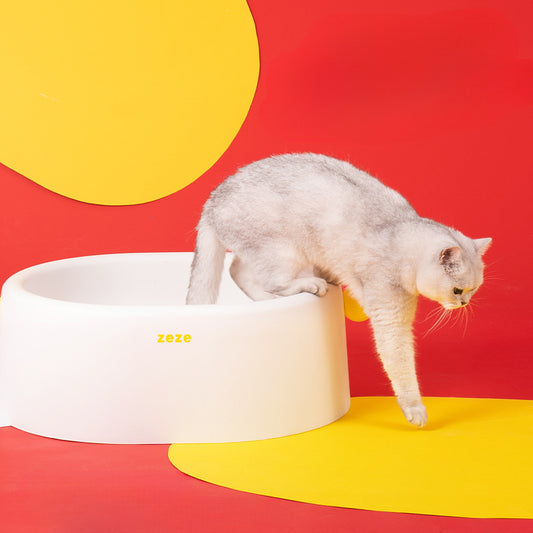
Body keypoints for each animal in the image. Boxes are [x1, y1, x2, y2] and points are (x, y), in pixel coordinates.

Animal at [186, 153, 491, 427]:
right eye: (457, 290)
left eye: (473, 290)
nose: (464, 304)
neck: (397, 232)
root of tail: (211, 202)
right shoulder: (390, 313)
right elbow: (400, 361)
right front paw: (414, 408)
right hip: (284, 251)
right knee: (267, 279)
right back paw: (308, 285)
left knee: (236, 270)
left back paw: (267, 299)